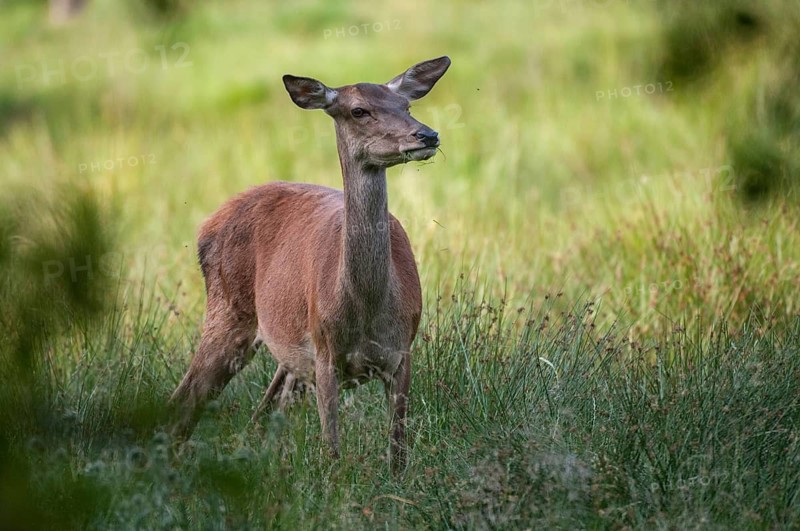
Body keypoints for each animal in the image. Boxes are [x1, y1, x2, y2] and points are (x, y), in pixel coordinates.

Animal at [169, 56, 451, 470]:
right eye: (358, 110)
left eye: (407, 106)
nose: (428, 135)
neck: (366, 310)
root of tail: (207, 224)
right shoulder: (324, 352)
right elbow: (331, 448)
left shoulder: (402, 352)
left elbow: (398, 452)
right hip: (228, 311)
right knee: (185, 397)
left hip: (284, 354)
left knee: (262, 411)